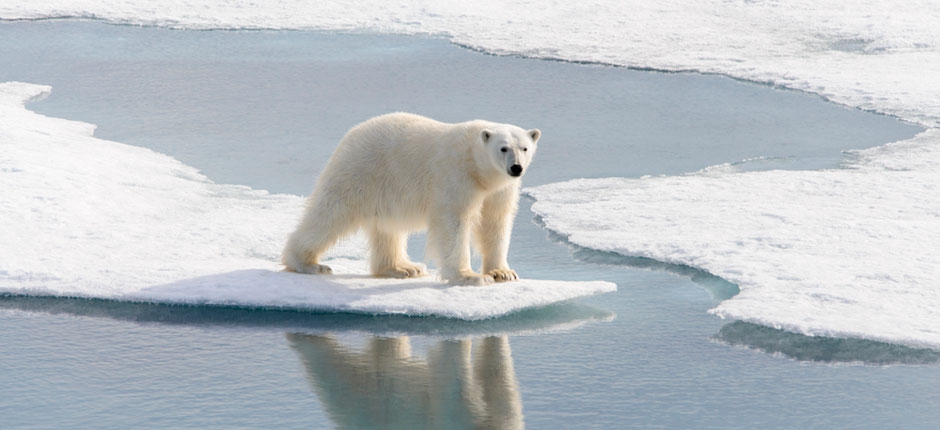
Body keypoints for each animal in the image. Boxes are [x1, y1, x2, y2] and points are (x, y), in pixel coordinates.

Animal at [282, 112, 540, 285]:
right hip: (360, 171)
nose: (516, 168)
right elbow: (454, 222)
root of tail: (351, 135)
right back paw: (308, 264)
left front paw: (503, 273)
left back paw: (403, 268)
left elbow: (495, 222)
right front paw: (471, 277)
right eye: (503, 148)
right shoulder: (455, 175)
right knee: (330, 214)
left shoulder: (499, 189)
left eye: (524, 148)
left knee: (387, 229)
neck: (477, 167)